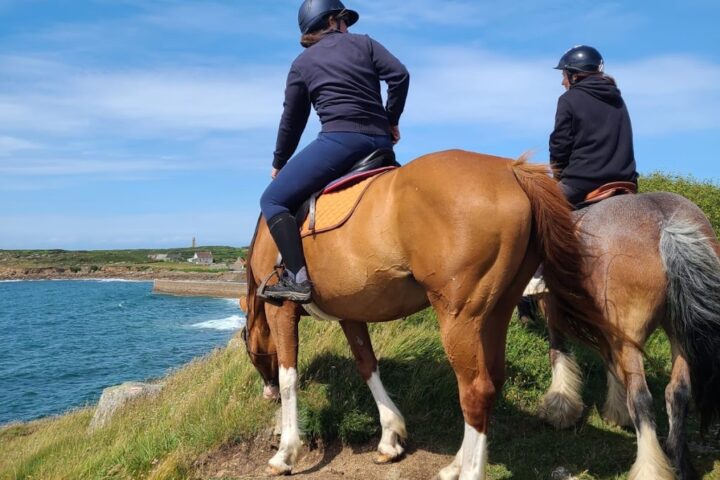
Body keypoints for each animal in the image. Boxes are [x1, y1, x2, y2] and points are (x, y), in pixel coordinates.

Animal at [241, 150, 623, 479]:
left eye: (246, 342)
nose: (265, 392)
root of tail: (511, 170)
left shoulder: (281, 311)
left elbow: (290, 377)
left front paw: (286, 453)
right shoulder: (351, 314)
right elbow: (368, 366)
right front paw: (389, 437)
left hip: (460, 317)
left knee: (476, 389)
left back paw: (469, 471)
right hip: (497, 311)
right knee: (491, 382)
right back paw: (457, 463)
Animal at [534, 192, 720, 480]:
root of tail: (666, 224)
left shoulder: (552, 309)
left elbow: (558, 353)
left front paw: (559, 408)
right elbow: (609, 362)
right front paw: (615, 410)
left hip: (630, 336)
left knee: (642, 399)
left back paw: (650, 469)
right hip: (679, 333)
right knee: (677, 392)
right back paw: (678, 462)